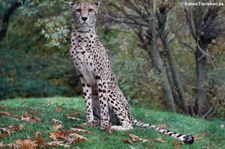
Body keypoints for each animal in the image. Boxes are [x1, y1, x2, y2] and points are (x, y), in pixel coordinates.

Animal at [68, 1, 193, 144]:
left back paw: (113, 127)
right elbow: (87, 103)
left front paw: (104, 127)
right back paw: (100, 122)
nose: (84, 18)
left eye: (90, 10)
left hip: (112, 93)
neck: (82, 36)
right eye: (78, 10)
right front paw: (89, 122)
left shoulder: (101, 77)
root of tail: (131, 115)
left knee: (128, 125)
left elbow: (104, 106)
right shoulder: (83, 77)